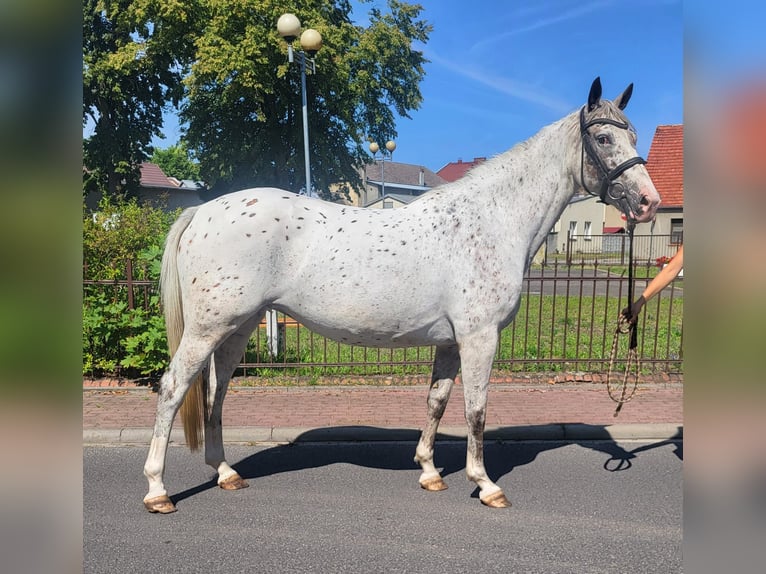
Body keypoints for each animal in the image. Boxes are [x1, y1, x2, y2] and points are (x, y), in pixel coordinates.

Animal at [142, 79, 660, 516]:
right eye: (605, 139)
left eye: (634, 135)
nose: (648, 202)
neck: (492, 219)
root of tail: (203, 210)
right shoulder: (479, 338)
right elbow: (476, 410)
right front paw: (485, 484)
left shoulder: (450, 342)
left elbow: (437, 402)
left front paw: (430, 472)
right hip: (209, 328)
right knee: (173, 389)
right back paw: (158, 491)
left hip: (238, 327)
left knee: (216, 393)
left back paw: (226, 473)